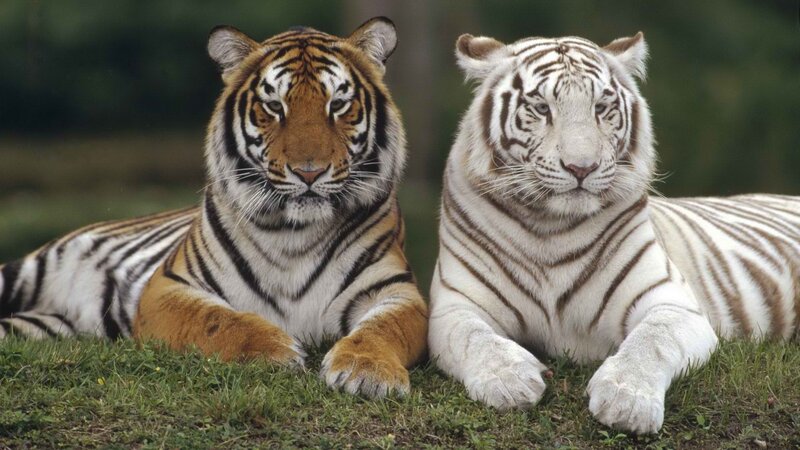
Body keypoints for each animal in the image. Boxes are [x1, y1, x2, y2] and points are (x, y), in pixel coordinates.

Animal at [0, 17, 428, 398]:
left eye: (338, 104)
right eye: (274, 106)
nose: (309, 172)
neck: (295, 232)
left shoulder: (396, 291)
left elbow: (383, 328)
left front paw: (367, 371)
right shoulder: (168, 287)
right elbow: (216, 319)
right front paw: (276, 350)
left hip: (47, 327)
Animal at [428, 31, 799, 434]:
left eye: (601, 108)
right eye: (541, 108)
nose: (581, 167)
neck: (550, 228)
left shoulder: (672, 302)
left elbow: (652, 339)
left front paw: (626, 399)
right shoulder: (454, 306)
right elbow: (474, 337)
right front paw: (509, 380)